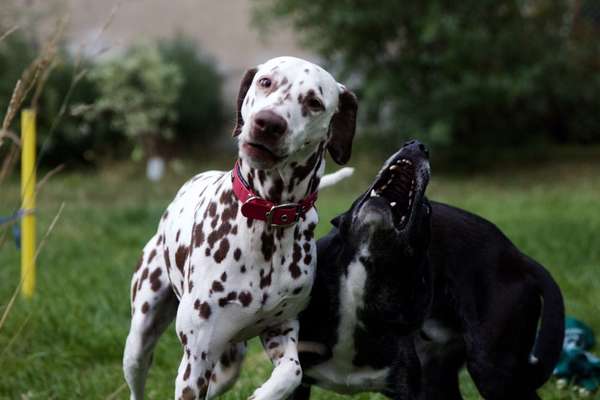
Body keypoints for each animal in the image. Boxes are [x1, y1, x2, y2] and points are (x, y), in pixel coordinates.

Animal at [122, 57, 356, 400]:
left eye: (314, 102)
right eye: (265, 82)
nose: (268, 123)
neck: (268, 219)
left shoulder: (281, 331)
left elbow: (292, 372)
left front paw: (264, 393)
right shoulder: (196, 360)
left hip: (229, 364)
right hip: (141, 339)